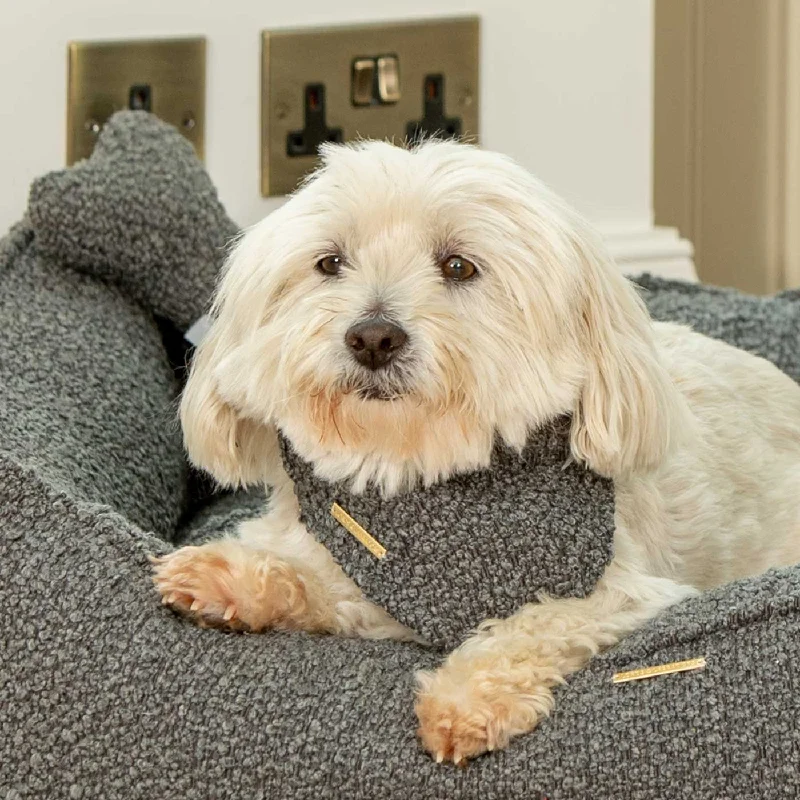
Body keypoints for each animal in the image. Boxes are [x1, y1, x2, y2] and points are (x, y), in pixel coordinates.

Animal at [153, 138, 800, 764]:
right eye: (330, 262)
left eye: (459, 266)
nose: (372, 337)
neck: (409, 467)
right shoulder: (367, 578)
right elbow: (323, 579)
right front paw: (229, 577)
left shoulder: (625, 594)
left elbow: (538, 622)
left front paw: (467, 698)